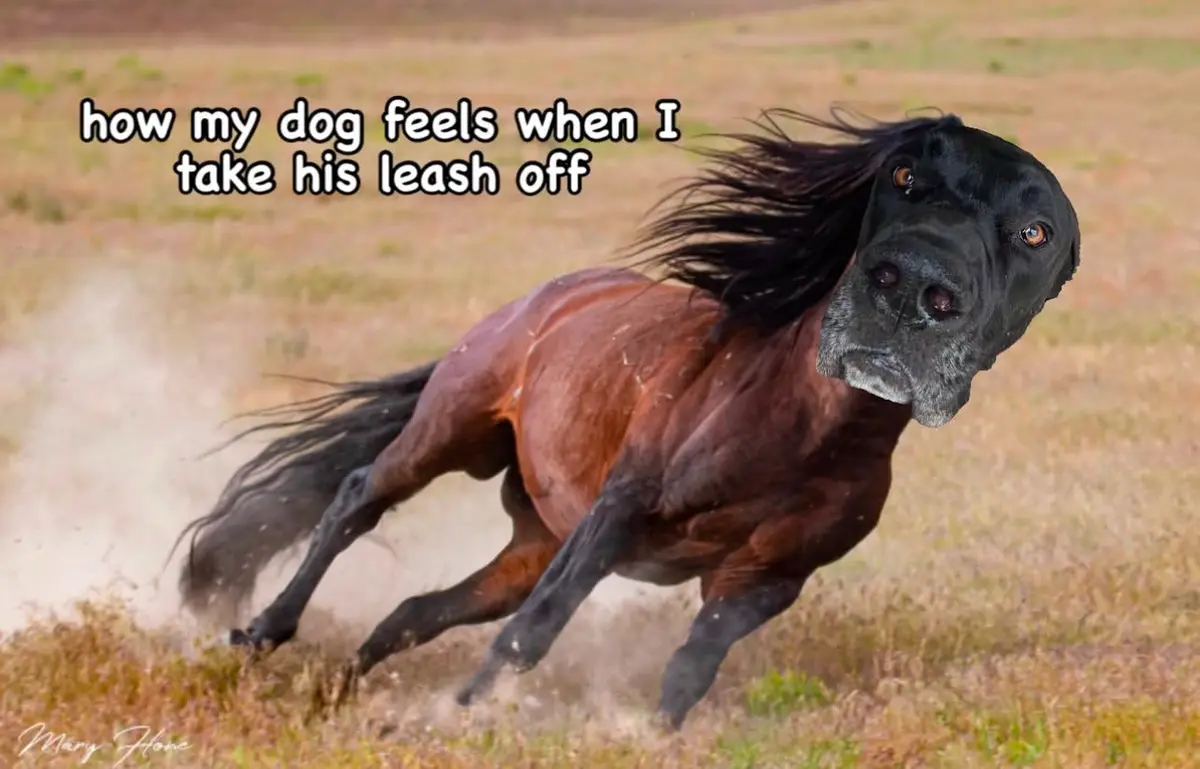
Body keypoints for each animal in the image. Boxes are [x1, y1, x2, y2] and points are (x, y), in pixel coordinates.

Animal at [170, 107, 1081, 729]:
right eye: (901, 176)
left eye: (1036, 233)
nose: (911, 285)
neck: (807, 435)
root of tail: (542, 298)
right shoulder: (620, 512)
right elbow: (533, 635)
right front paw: (464, 720)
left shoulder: (763, 583)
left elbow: (686, 673)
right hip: (450, 430)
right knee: (357, 498)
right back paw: (261, 633)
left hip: (532, 539)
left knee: (416, 610)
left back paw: (346, 693)